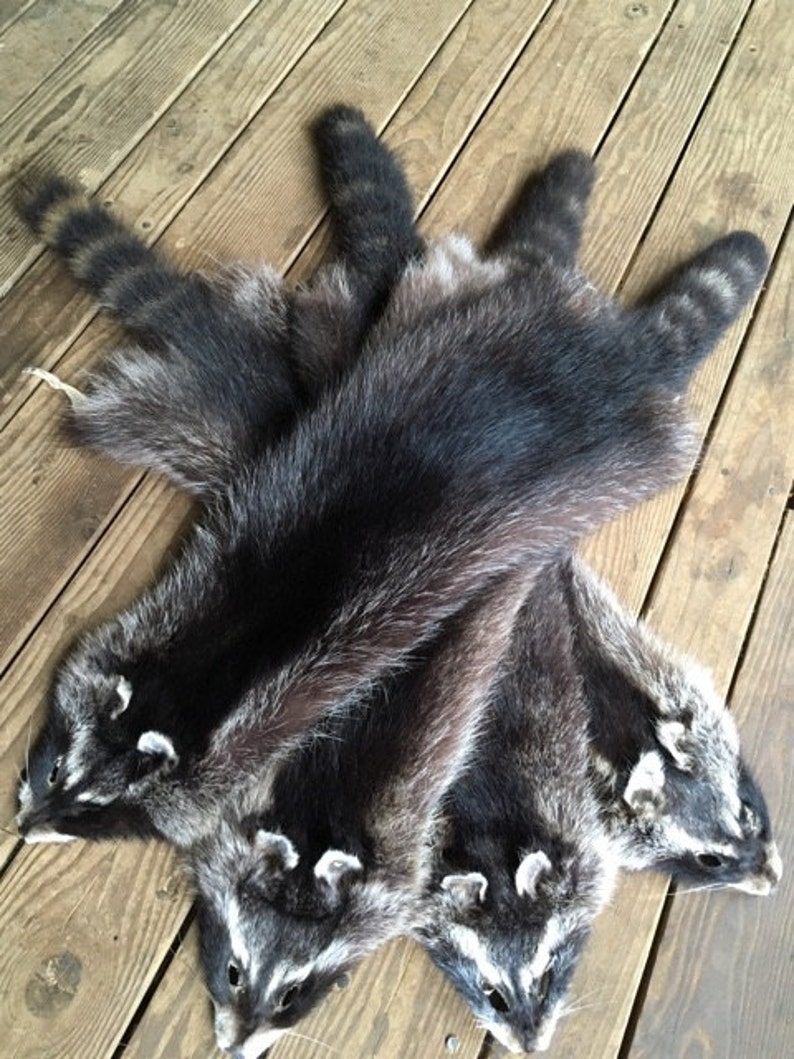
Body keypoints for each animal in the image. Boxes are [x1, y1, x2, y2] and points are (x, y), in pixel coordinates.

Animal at [16, 117, 767, 852]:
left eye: (93, 813)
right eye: (57, 772)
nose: (23, 823)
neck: (190, 684)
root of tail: (615, 358)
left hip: (617, 456)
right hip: (464, 318)